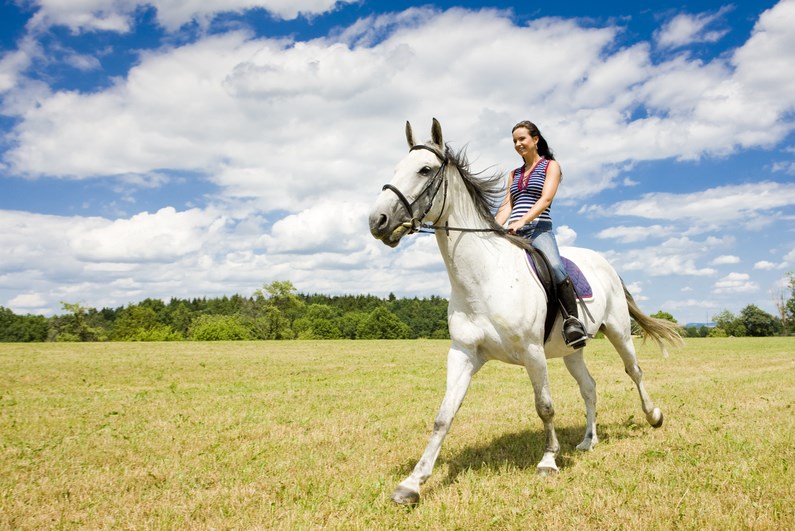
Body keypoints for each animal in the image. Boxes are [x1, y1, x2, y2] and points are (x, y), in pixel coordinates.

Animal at [368, 118, 684, 504]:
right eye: (396, 169)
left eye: (424, 170)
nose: (378, 221)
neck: (484, 278)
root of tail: (604, 262)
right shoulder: (463, 354)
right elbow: (444, 415)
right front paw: (412, 483)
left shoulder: (533, 353)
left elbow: (544, 406)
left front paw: (548, 460)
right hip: (572, 351)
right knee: (589, 387)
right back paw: (587, 441)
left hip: (619, 332)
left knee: (634, 372)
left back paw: (653, 416)